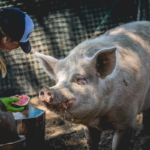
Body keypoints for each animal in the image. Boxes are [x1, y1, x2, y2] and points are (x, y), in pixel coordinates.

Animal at [34, 20, 150, 150]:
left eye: (80, 79)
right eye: (57, 80)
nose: (46, 90)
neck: (101, 117)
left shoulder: (127, 119)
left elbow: (118, 144)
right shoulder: (88, 125)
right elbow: (91, 142)